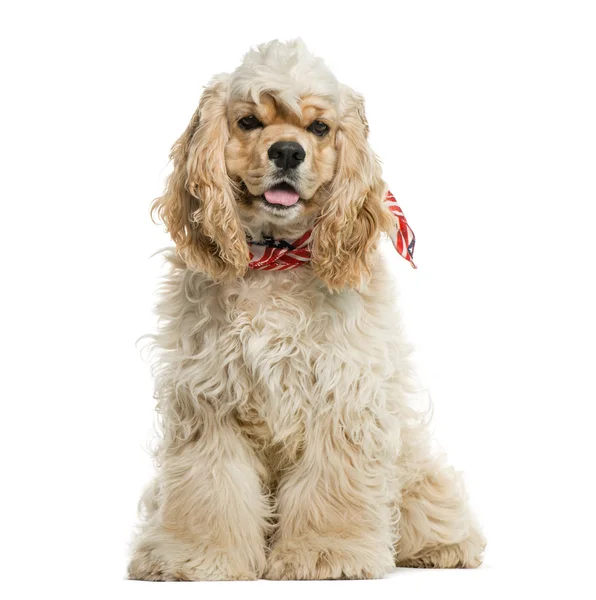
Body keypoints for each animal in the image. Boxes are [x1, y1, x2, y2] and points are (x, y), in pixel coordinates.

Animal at [129, 38, 484, 580]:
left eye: (319, 128)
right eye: (248, 121)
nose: (287, 151)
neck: (276, 258)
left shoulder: (341, 393)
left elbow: (331, 486)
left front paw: (327, 555)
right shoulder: (209, 398)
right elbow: (209, 489)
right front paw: (196, 558)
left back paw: (446, 547)